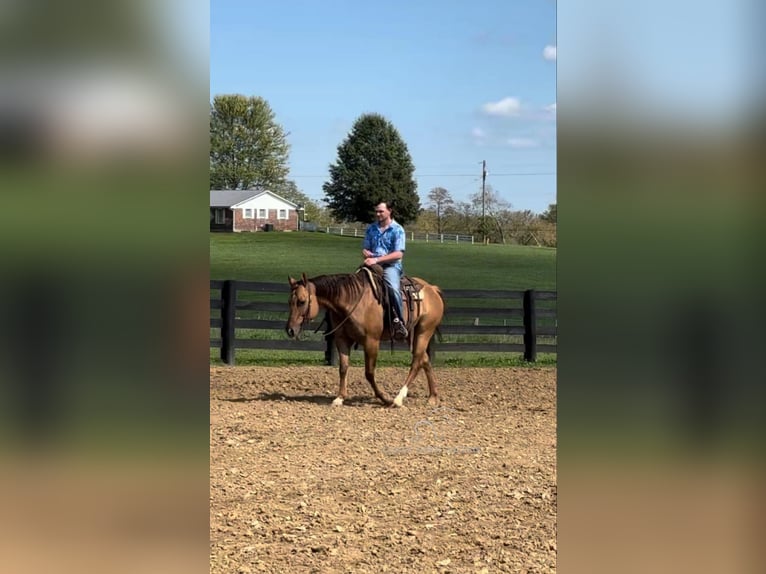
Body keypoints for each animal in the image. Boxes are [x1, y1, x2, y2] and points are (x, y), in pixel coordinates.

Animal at [286, 268, 444, 408]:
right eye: (289, 302)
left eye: (301, 301)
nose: (290, 330)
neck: (351, 301)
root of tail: (432, 289)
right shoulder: (342, 340)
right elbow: (343, 368)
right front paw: (340, 398)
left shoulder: (371, 342)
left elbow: (369, 372)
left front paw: (384, 398)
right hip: (411, 336)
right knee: (425, 360)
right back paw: (433, 397)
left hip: (424, 332)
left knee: (416, 362)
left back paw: (398, 399)